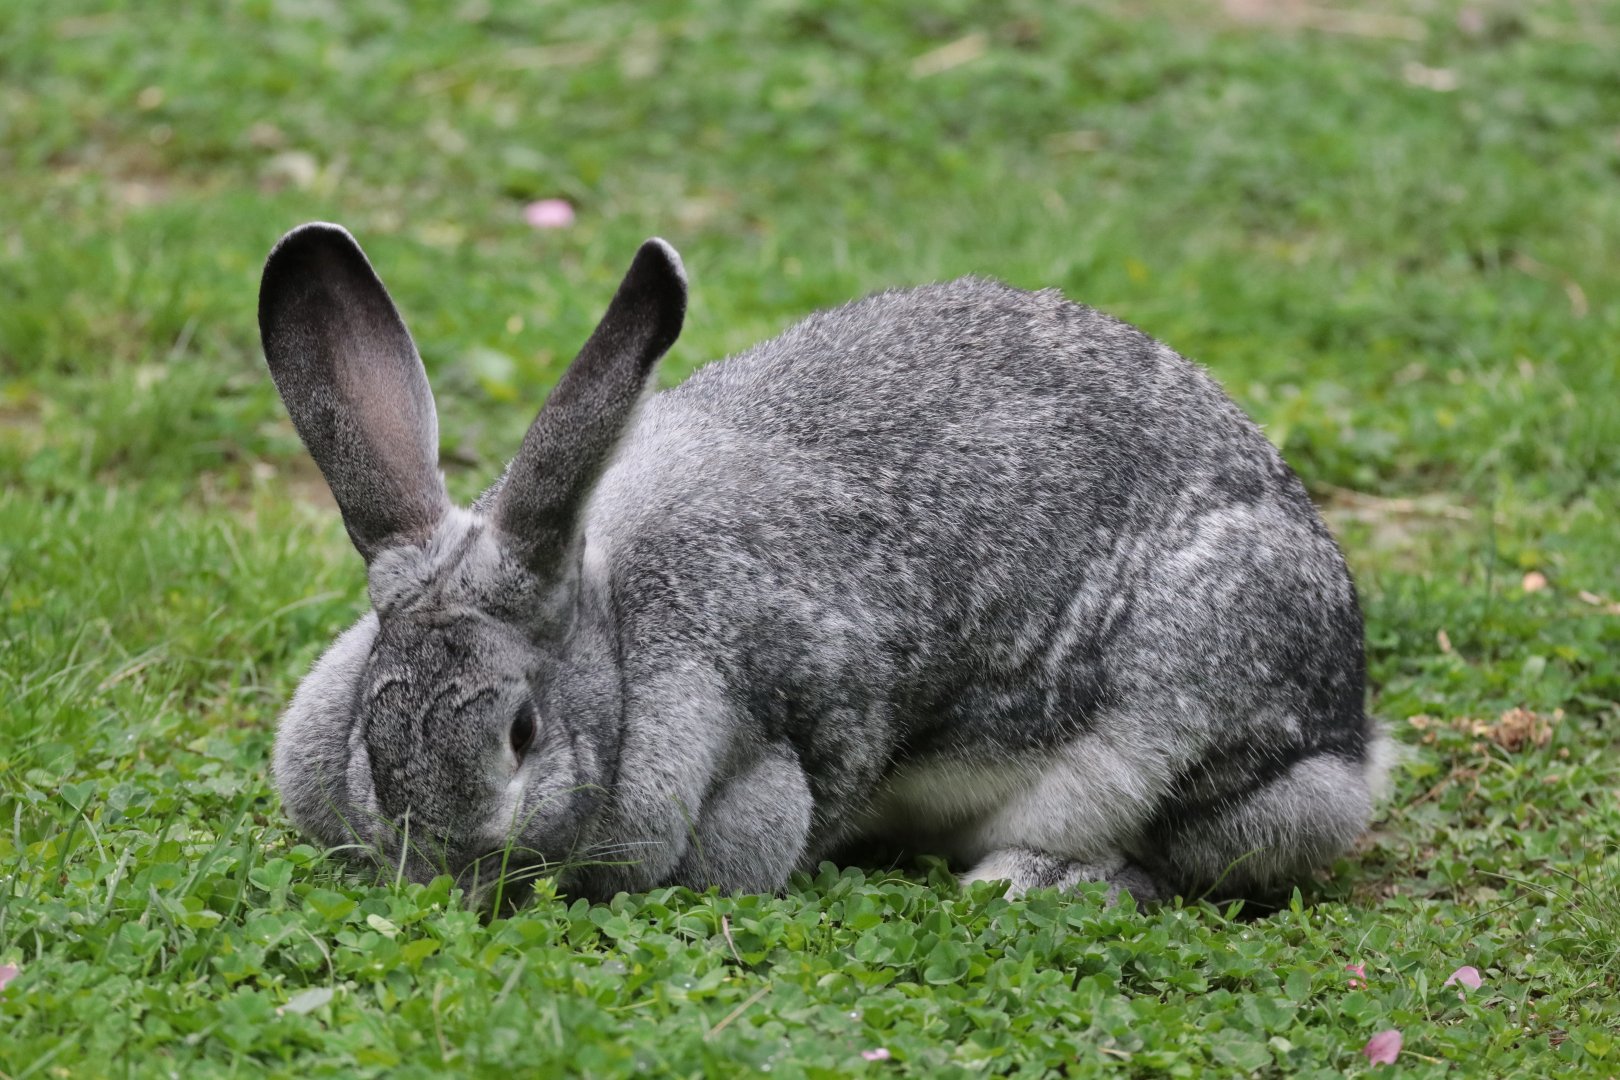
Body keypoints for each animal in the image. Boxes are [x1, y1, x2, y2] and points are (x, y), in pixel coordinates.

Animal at [260, 221, 1391, 906]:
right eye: (369, 727)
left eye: (521, 733)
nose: (445, 866)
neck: (612, 627)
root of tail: (1352, 737)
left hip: (1192, 731)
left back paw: (1029, 883)